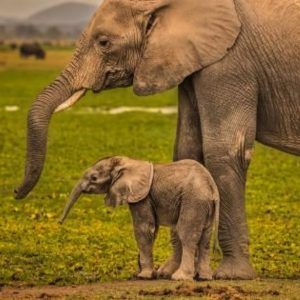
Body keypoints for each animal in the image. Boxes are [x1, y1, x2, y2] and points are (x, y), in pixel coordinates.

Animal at [59, 156, 219, 280]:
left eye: (94, 178)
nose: (60, 222)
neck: (128, 162)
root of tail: (212, 187)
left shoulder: (141, 196)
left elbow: (144, 229)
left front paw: (144, 276)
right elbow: (151, 230)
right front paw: (143, 272)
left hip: (193, 200)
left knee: (186, 235)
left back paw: (180, 278)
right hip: (204, 205)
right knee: (205, 237)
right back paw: (204, 278)